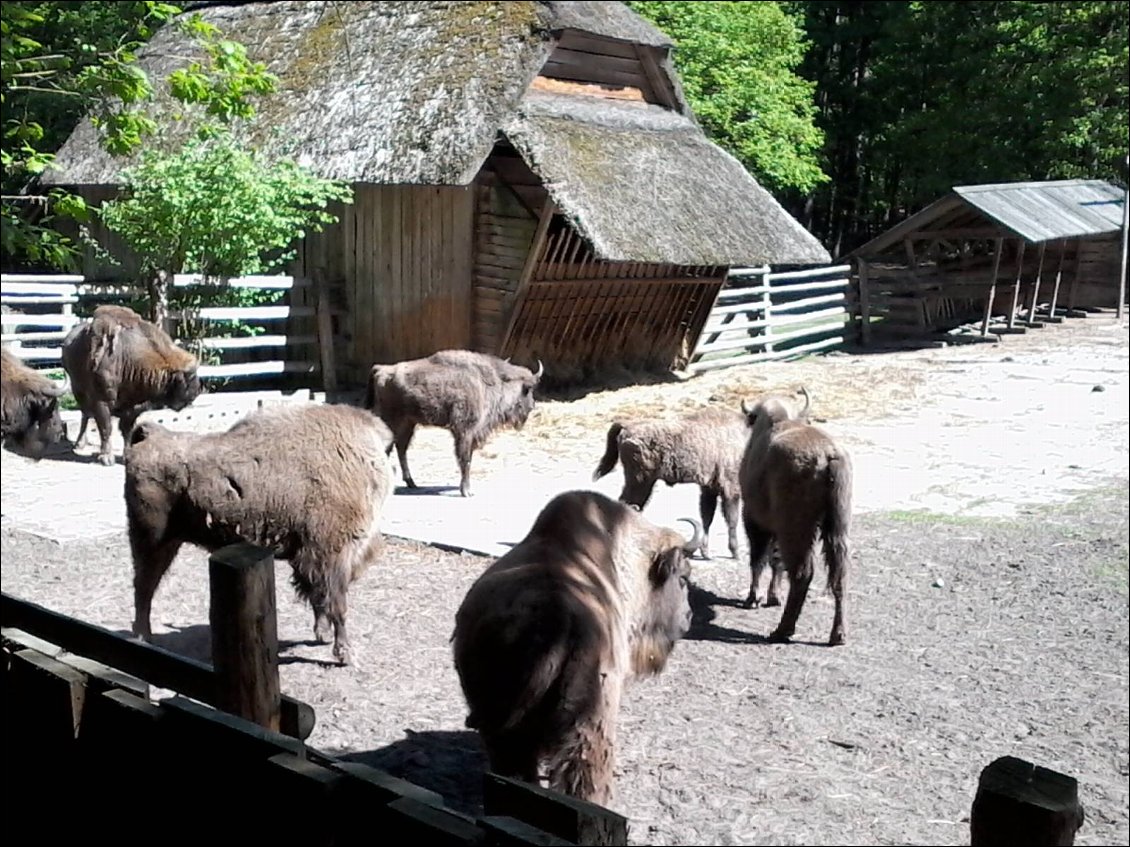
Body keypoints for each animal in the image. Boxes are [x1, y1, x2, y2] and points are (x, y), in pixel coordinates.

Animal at [62, 302, 203, 467]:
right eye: (190, 377)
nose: (197, 390)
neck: (129, 357)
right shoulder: (102, 401)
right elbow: (106, 428)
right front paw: (106, 458)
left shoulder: (133, 407)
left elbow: (127, 430)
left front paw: (127, 455)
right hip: (78, 390)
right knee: (85, 415)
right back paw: (79, 444)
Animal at [124, 402, 395, 668]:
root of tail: (146, 437)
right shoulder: (333, 554)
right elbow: (337, 604)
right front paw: (345, 654)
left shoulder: (312, 557)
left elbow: (318, 597)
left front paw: (323, 635)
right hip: (154, 542)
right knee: (144, 587)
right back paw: (143, 637)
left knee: (143, 586)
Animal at [366, 350, 542, 496]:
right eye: (529, 389)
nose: (532, 406)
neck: (490, 382)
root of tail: (381, 370)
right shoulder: (465, 431)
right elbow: (465, 459)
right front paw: (467, 491)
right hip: (392, 420)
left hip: (408, 423)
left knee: (400, 448)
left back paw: (411, 483)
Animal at [736, 395, 849, 645]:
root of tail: (828, 455)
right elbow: (774, 560)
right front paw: (771, 596)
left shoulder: (753, 519)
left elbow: (759, 559)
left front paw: (753, 598)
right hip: (838, 529)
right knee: (838, 574)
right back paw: (838, 635)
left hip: (795, 531)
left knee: (801, 574)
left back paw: (782, 631)